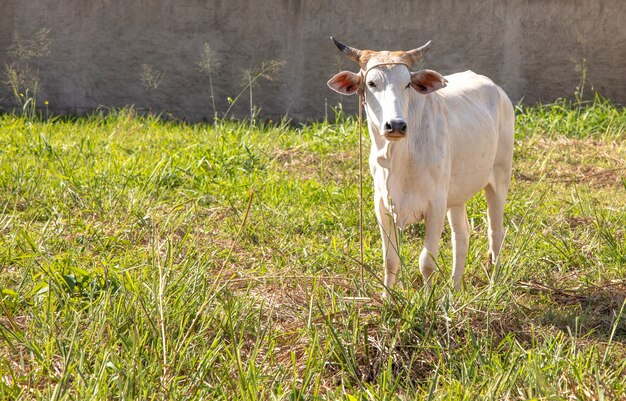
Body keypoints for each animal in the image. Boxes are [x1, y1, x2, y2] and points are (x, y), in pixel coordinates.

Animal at [326, 37, 512, 296]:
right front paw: (387, 298)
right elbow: (390, 260)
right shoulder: (382, 206)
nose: (395, 125)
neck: (398, 157)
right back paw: (454, 289)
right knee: (461, 235)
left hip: (499, 179)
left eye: (407, 84)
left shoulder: (435, 205)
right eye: (371, 83)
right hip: (455, 196)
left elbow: (426, 262)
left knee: (495, 232)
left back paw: (493, 283)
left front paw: (426, 300)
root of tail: (497, 89)